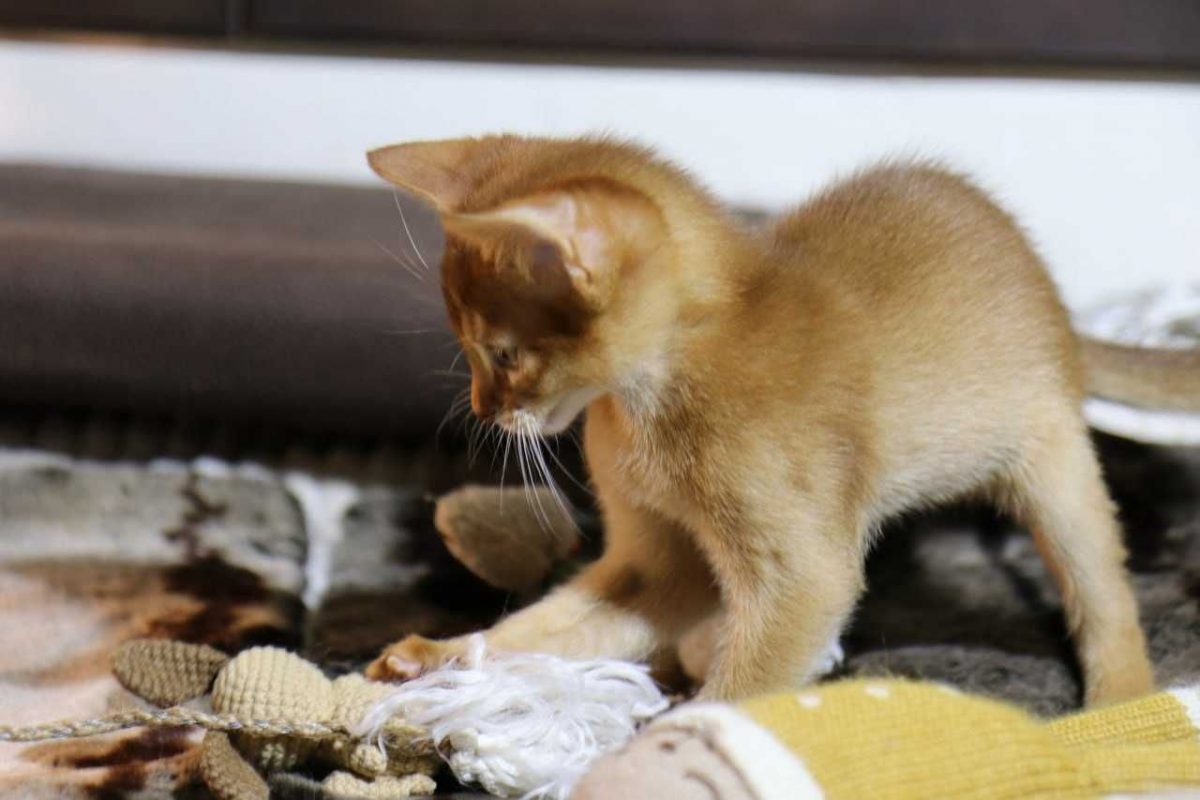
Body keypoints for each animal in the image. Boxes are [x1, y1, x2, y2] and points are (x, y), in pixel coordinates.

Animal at [362, 135, 1195, 705]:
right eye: (468, 347)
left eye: (503, 354)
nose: (482, 408)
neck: (649, 406)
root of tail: (1055, 299)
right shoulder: (657, 564)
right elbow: (548, 626)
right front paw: (444, 655)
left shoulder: (804, 573)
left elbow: (743, 687)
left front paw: (669, 746)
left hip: (1051, 459)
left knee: (1104, 588)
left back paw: (1122, 704)